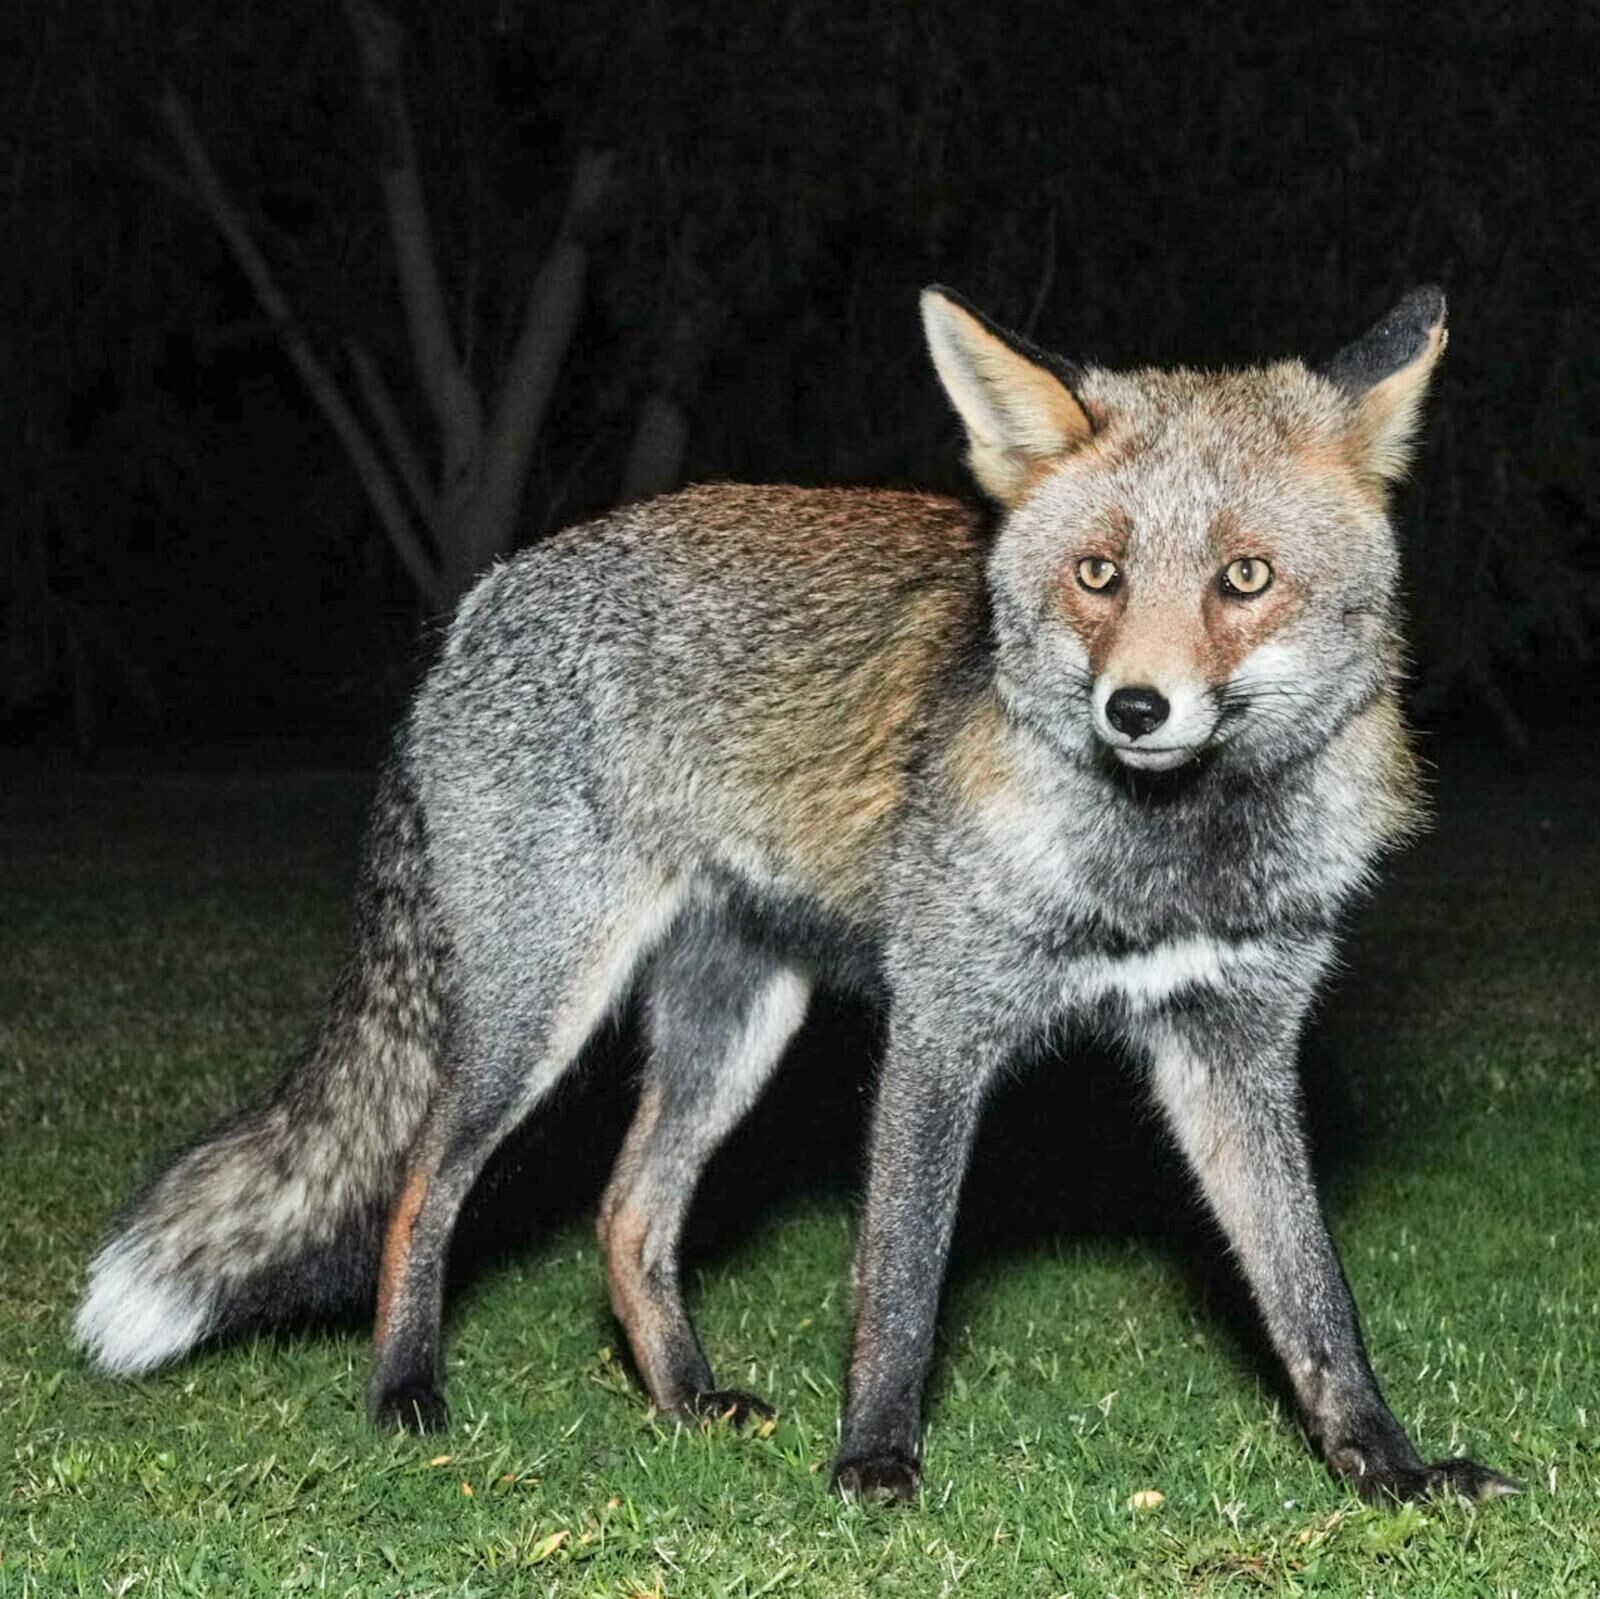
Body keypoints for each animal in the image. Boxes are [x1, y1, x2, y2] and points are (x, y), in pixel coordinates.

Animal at [78, 284, 1515, 1507]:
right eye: (1099, 574)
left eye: (1245, 578)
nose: (1136, 709)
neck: (1165, 863)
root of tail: (486, 596)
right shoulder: (941, 1026)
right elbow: (902, 1276)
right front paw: (875, 1460)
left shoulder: (1235, 1045)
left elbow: (1314, 1296)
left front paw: (1386, 1467)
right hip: (534, 1017)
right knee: (425, 1183)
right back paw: (403, 1390)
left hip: (738, 1024)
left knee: (625, 1212)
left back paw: (681, 1399)